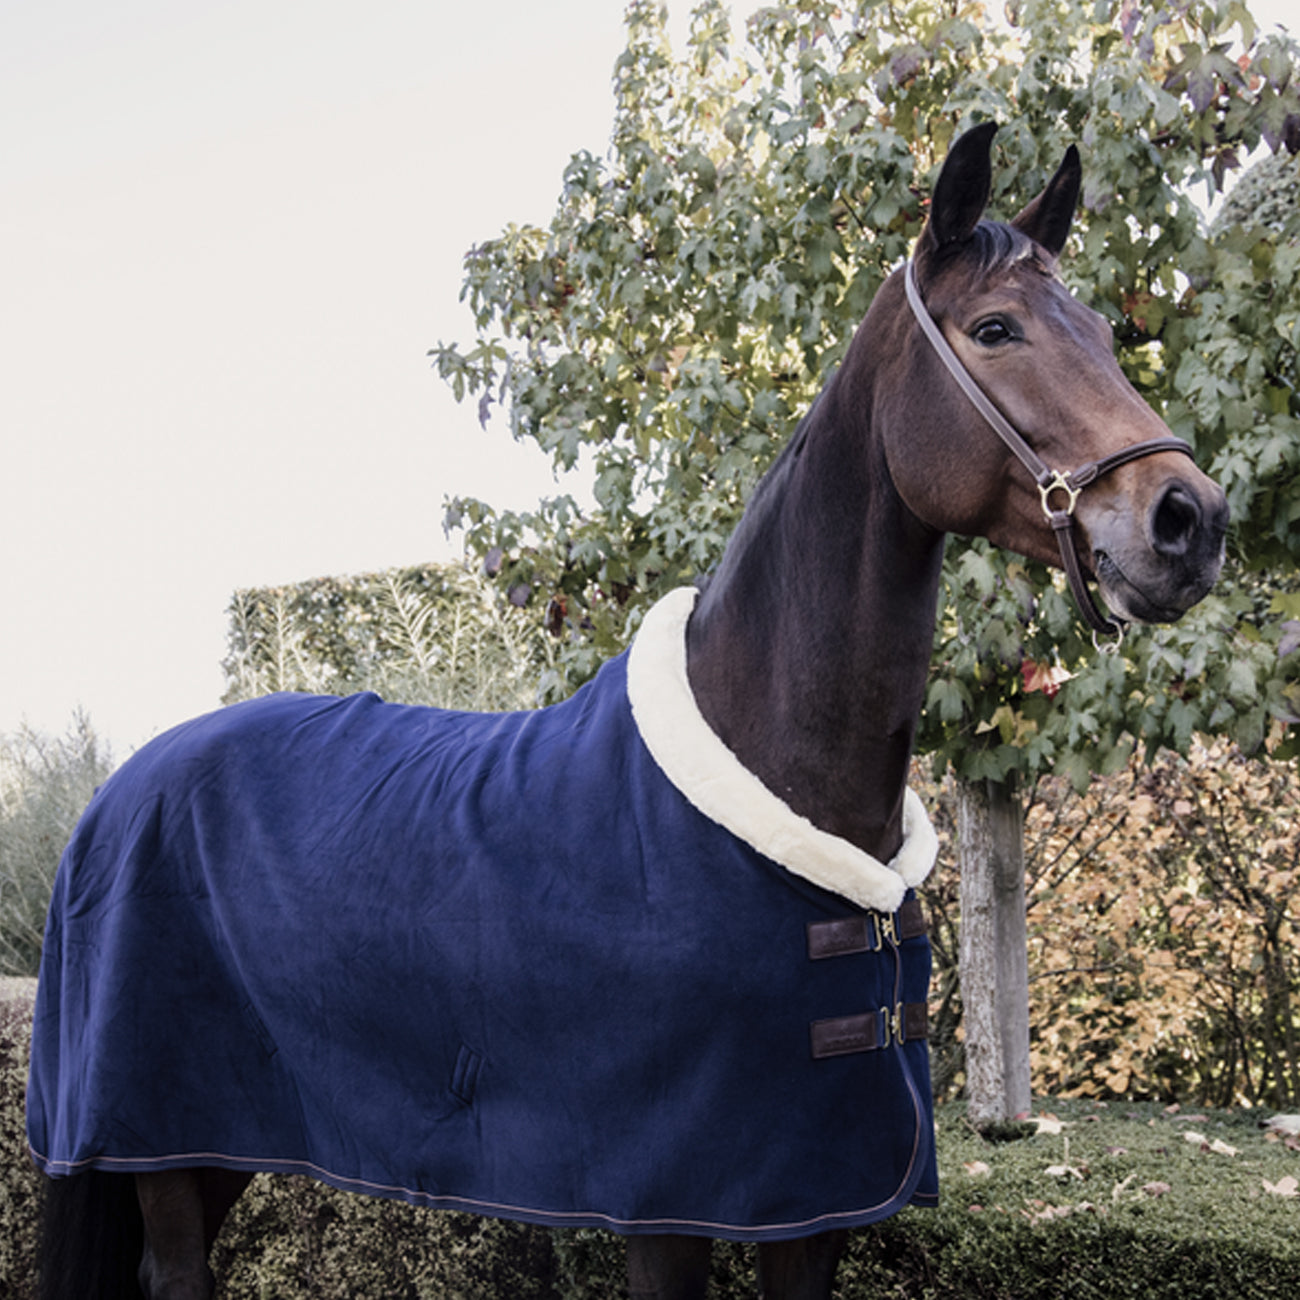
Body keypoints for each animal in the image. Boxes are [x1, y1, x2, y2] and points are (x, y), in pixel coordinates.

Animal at [28, 122, 1227, 1300]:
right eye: (995, 329)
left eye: (1104, 334)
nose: (1190, 520)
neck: (769, 770)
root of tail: (121, 791)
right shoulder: (667, 1205)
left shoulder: (815, 1202)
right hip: (162, 1135)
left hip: (219, 1137)